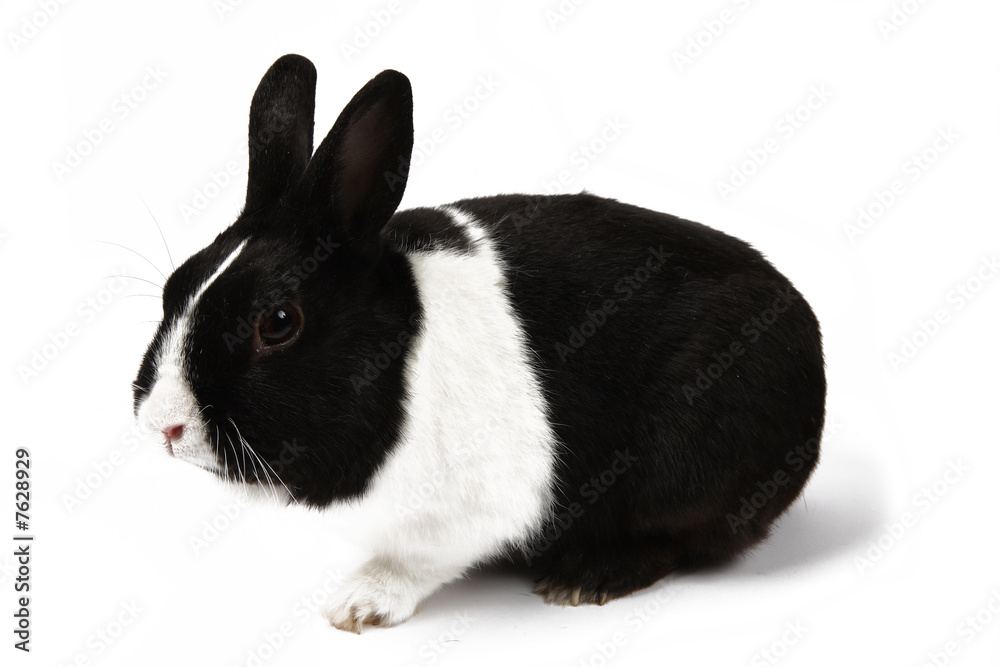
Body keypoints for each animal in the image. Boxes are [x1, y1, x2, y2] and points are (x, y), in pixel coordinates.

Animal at [133, 54, 826, 633]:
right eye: (176, 285)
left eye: (278, 322)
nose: (162, 426)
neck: (399, 360)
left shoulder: (470, 509)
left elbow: (416, 561)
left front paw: (357, 607)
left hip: (691, 462)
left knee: (684, 538)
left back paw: (585, 578)